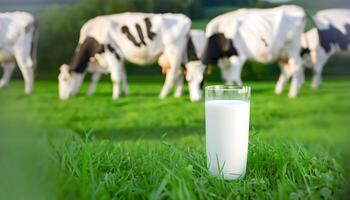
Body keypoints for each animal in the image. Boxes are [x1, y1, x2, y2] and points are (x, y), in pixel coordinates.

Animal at [58, 12, 194, 100]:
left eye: (64, 79)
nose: (62, 98)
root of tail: (185, 18)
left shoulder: (112, 54)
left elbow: (115, 78)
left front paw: (115, 97)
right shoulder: (120, 59)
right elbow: (121, 77)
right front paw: (126, 93)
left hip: (173, 51)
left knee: (173, 73)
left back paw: (162, 95)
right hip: (181, 54)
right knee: (181, 71)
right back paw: (177, 95)